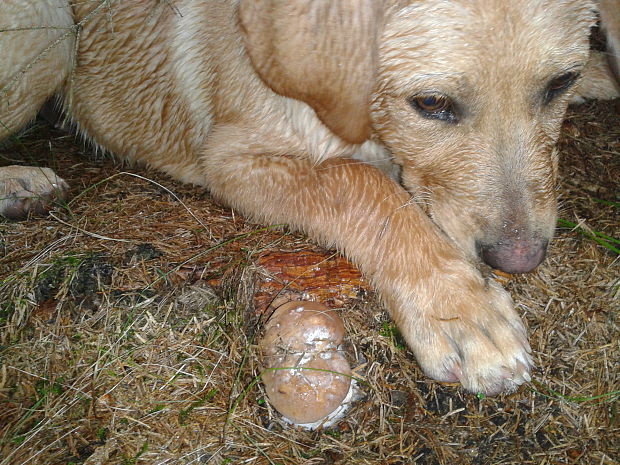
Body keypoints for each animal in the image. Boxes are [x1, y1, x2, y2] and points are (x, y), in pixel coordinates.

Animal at [1, 0, 620, 396]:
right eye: (431, 103)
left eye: (560, 83)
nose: (521, 262)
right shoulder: (236, 159)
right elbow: (364, 187)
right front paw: (460, 310)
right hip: (52, 26)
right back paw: (22, 182)